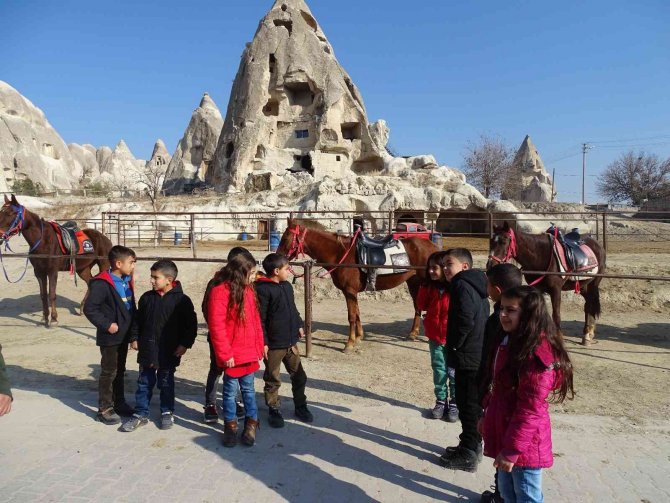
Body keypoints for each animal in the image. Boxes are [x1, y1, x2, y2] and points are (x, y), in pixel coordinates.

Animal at [0, 193, 113, 326]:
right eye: (1, 211)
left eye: (11, 213)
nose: (0, 235)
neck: (42, 240)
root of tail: (105, 238)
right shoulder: (39, 272)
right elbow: (43, 295)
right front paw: (45, 317)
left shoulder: (52, 271)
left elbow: (52, 294)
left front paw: (53, 319)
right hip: (83, 269)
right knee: (90, 282)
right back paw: (82, 308)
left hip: (103, 264)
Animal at [278, 219, 440, 352]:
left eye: (285, 238)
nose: (277, 256)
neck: (340, 253)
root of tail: (433, 247)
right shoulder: (352, 292)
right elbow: (357, 313)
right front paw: (359, 337)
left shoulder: (349, 291)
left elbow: (351, 316)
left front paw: (349, 343)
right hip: (414, 282)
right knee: (417, 306)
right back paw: (413, 333)